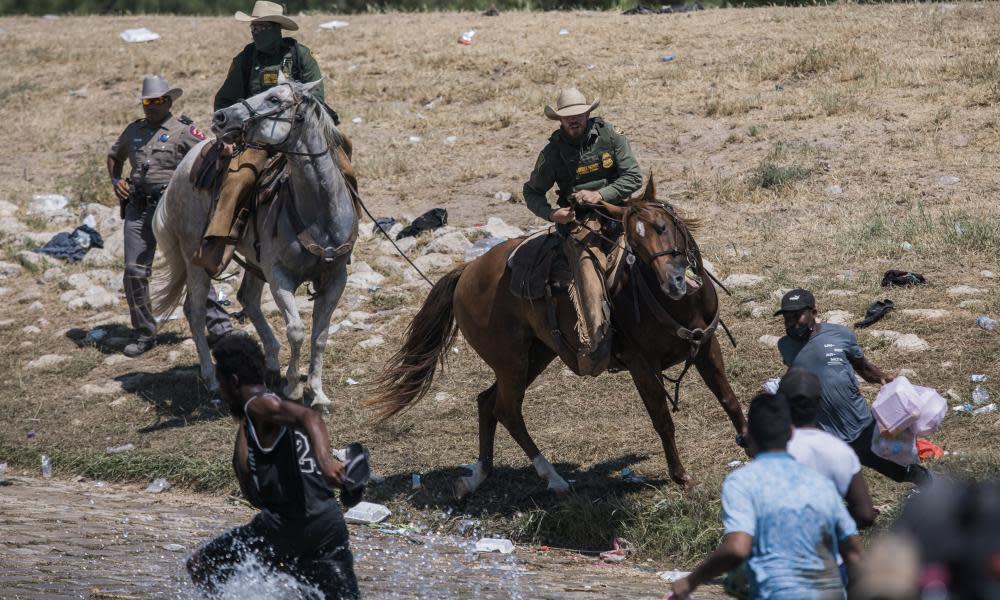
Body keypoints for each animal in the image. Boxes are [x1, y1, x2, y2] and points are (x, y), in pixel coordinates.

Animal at [154, 78, 358, 408]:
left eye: (274, 99)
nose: (221, 117)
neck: (319, 212)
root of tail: (181, 169)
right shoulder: (279, 276)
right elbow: (297, 330)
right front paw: (294, 388)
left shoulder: (336, 277)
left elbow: (320, 335)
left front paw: (317, 393)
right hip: (195, 259)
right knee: (194, 311)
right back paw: (212, 380)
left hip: (253, 259)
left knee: (247, 297)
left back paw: (272, 363)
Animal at [372, 178, 748, 496]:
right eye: (635, 245)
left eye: (663, 226)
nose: (674, 282)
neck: (676, 304)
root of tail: (466, 272)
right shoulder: (643, 366)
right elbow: (662, 420)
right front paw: (681, 476)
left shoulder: (706, 346)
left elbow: (728, 399)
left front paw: (748, 441)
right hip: (511, 362)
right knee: (507, 409)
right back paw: (552, 478)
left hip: (536, 355)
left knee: (487, 402)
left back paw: (477, 476)